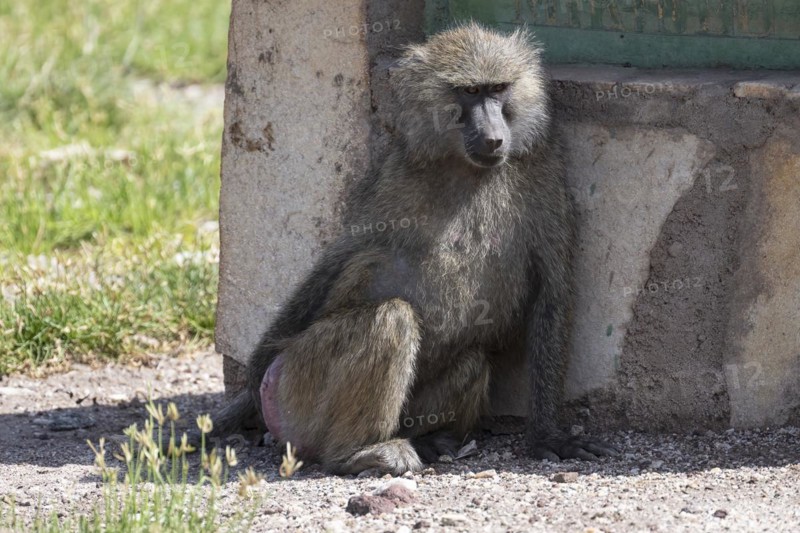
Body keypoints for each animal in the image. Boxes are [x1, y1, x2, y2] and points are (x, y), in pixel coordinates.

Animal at [208, 22, 618, 474]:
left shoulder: (545, 169)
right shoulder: (393, 176)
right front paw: (252, 373)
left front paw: (549, 435)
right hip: (301, 380)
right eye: (469, 92)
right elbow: (339, 257)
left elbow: (553, 292)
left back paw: (432, 440)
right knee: (391, 319)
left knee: (472, 360)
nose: (494, 139)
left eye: (498, 88)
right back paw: (361, 451)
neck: (465, 168)